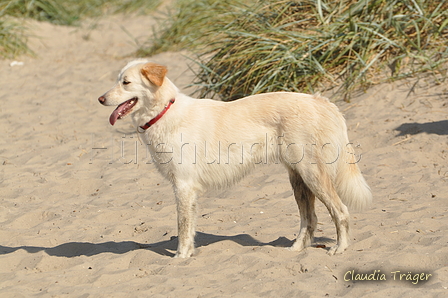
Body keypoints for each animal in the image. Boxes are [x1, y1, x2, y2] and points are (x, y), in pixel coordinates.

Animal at [99, 59, 374, 258]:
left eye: (126, 82)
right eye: (118, 81)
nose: (100, 99)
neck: (164, 112)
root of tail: (321, 101)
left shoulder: (184, 187)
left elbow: (183, 229)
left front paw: (180, 258)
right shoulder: (187, 190)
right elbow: (189, 228)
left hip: (312, 175)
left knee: (341, 211)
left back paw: (340, 248)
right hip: (298, 178)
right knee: (310, 219)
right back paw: (296, 250)